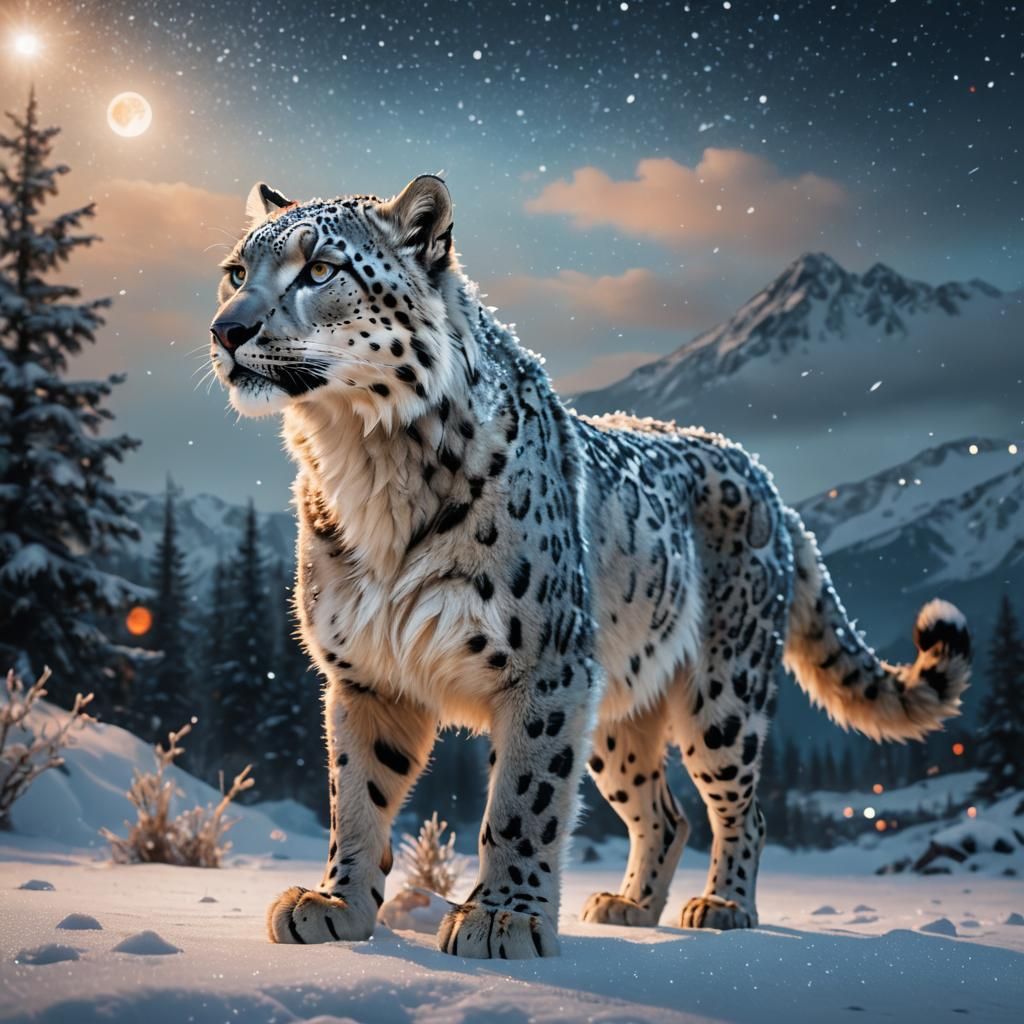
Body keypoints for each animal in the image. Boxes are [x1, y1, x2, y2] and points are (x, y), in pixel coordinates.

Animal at [208, 175, 971, 958]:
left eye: (319, 269)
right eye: (236, 271)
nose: (226, 331)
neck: (364, 464)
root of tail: (760, 474)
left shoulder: (544, 665)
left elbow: (523, 797)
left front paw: (502, 918)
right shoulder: (365, 669)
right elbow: (357, 792)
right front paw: (335, 904)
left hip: (724, 691)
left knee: (741, 807)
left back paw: (723, 906)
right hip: (615, 711)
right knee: (664, 811)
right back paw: (629, 905)